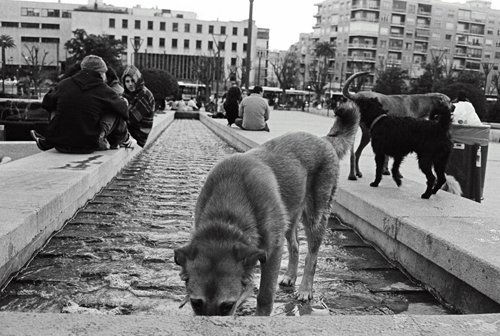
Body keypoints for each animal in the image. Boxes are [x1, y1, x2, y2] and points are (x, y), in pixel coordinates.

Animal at [173, 100, 360, 316]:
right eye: (196, 303)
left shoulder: (272, 253)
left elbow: (264, 295)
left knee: (311, 256)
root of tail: (325, 140)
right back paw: (290, 277)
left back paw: (305, 289)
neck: (227, 215)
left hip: (315, 217)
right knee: (295, 245)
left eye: (227, 306)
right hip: (288, 220)